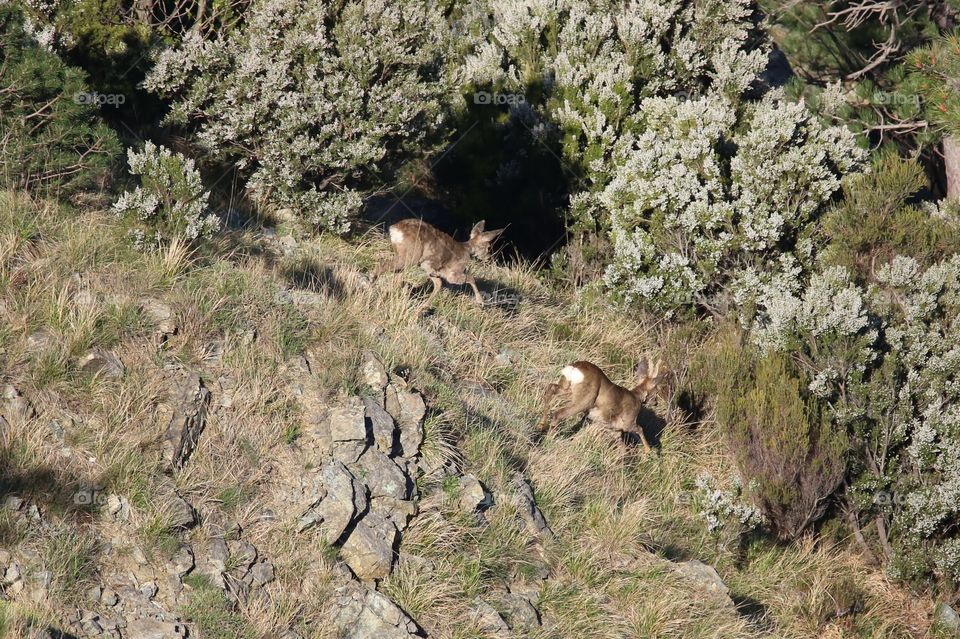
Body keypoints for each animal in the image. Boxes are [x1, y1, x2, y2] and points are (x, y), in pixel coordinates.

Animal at [373, 218, 504, 309]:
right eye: (488, 247)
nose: (488, 258)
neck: (467, 250)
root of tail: (395, 228)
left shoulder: (432, 270)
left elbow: (438, 284)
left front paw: (423, 307)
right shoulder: (453, 274)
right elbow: (471, 278)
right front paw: (480, 301)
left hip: (405, 257)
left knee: (396, 277)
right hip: (410, 256)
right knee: (382, 265)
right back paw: (372, 285)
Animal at [537, 357, 667, 452]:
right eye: (656, 391)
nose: (656, 402)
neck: (637, 398)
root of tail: (574, 368)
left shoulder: (614, 429)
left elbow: (622, 448)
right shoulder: (628, 422)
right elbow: (640, 429)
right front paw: (648, 451)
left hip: (567, 389)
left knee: (550, 389)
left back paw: (541, 425)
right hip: (585, 399)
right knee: (559, 413)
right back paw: (550, 440)